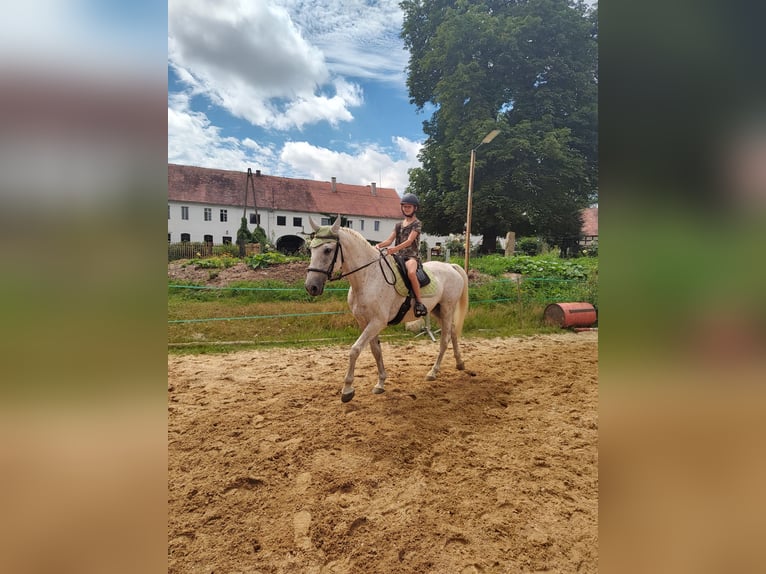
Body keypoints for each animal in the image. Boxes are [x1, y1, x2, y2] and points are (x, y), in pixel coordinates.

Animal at [304, 218, 468, 402]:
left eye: (327, 250)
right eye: (311, 249)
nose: (311, 287)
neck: (368, 277)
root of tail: (451, 267)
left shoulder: (377, 322)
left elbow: (355, 350)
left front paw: (347, 390)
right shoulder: (365, 322)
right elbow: (376, 351)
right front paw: (380, 383)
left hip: (447, 308)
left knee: (445, 339)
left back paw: (433, 372)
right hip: (437, 310)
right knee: (452, 331)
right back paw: (459, 363)